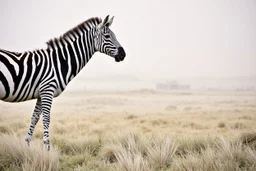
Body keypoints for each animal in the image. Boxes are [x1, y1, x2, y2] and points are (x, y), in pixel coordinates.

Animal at [0, 15, 126, 150]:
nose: (123, 54)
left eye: (114, 35)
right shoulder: (47, 90)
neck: (60, 62)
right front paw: (47, 149)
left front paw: (27, 147)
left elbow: (34, 118)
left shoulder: (40, 94)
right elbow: (46, 119)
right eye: (107, 36)